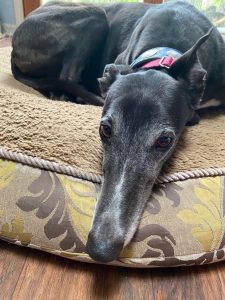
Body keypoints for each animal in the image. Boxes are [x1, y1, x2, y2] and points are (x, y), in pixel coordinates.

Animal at [11, 0, 225, 262]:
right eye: (105, 129)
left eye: (165, 140)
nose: (101, 249)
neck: (165, 53)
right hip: (94, 14)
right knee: (67, 76)